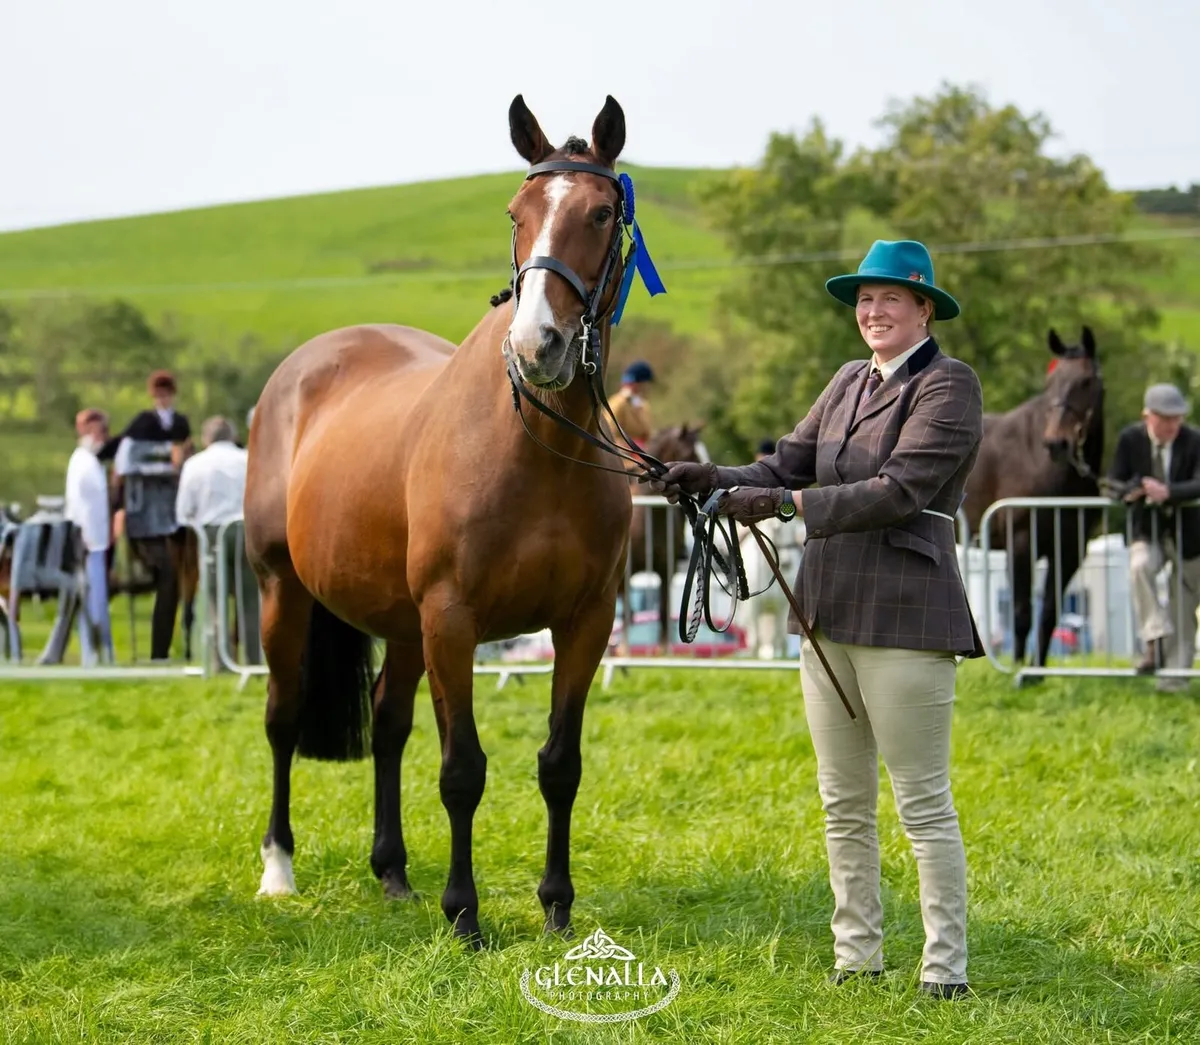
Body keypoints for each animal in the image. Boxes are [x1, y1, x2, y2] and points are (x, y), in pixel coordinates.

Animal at [244, 94, 642, 947]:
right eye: (517, 214)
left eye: (600, 212)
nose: (538, 345)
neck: (539, 448)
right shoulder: (453, 619)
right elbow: (463, 769)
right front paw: (465, 914)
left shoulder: (586, 620)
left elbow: (560, 764)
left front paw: (556, 905)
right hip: (283, 591)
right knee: (283, 719)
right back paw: (279, 869)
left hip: (400, 622)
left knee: (388, 722)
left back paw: (392, 870)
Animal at [961, 326, 1105, 667]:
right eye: (1049, 384)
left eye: (1086, 381)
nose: (1057, 443)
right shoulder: (1021, 542)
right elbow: (1021, 613)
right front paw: (1014, 668)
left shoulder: (1069, 549)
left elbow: (1049, 613)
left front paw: (1037, 669)